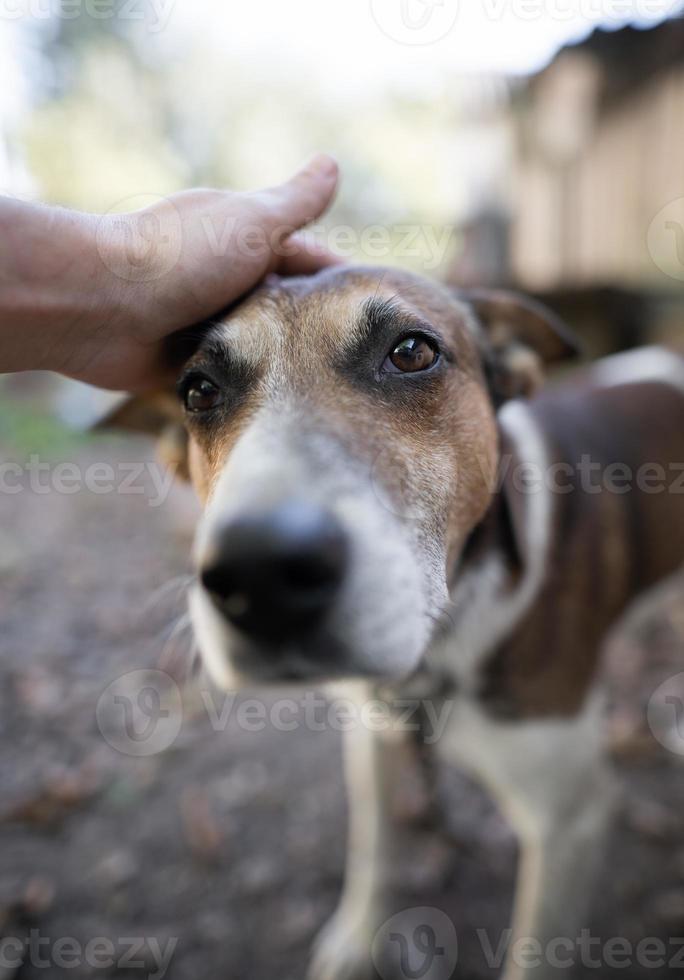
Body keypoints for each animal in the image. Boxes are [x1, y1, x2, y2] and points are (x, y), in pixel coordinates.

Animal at [111, 264, 684, 976]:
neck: (442, 642)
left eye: (411, 352)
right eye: (198, 390)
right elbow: (374, 846)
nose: (260, 572)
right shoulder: (372, 732)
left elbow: (536, 948)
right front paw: (359, 939)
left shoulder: (570, 821)